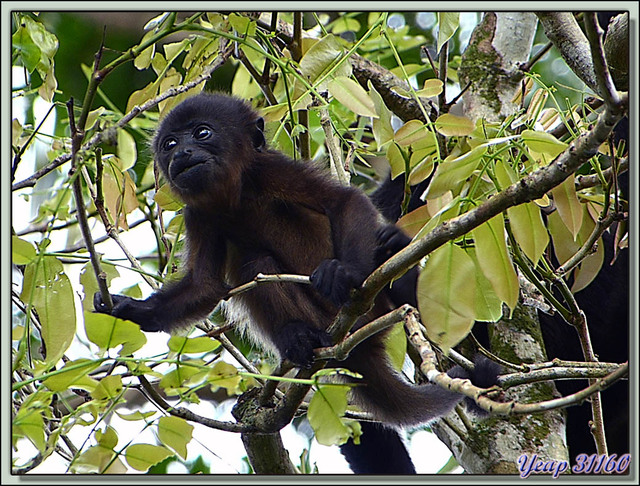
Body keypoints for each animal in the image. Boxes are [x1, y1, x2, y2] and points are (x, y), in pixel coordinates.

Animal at [94, 92, 500, 473]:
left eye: (202, 133)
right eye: (169, 143)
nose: (181, 153)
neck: (233, 193)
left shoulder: (271, 169)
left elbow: (344, 201)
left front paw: (344, 273)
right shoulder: (198, 214)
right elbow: (203, 288)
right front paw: (131, 310)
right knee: (255, 266)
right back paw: (298, 337)